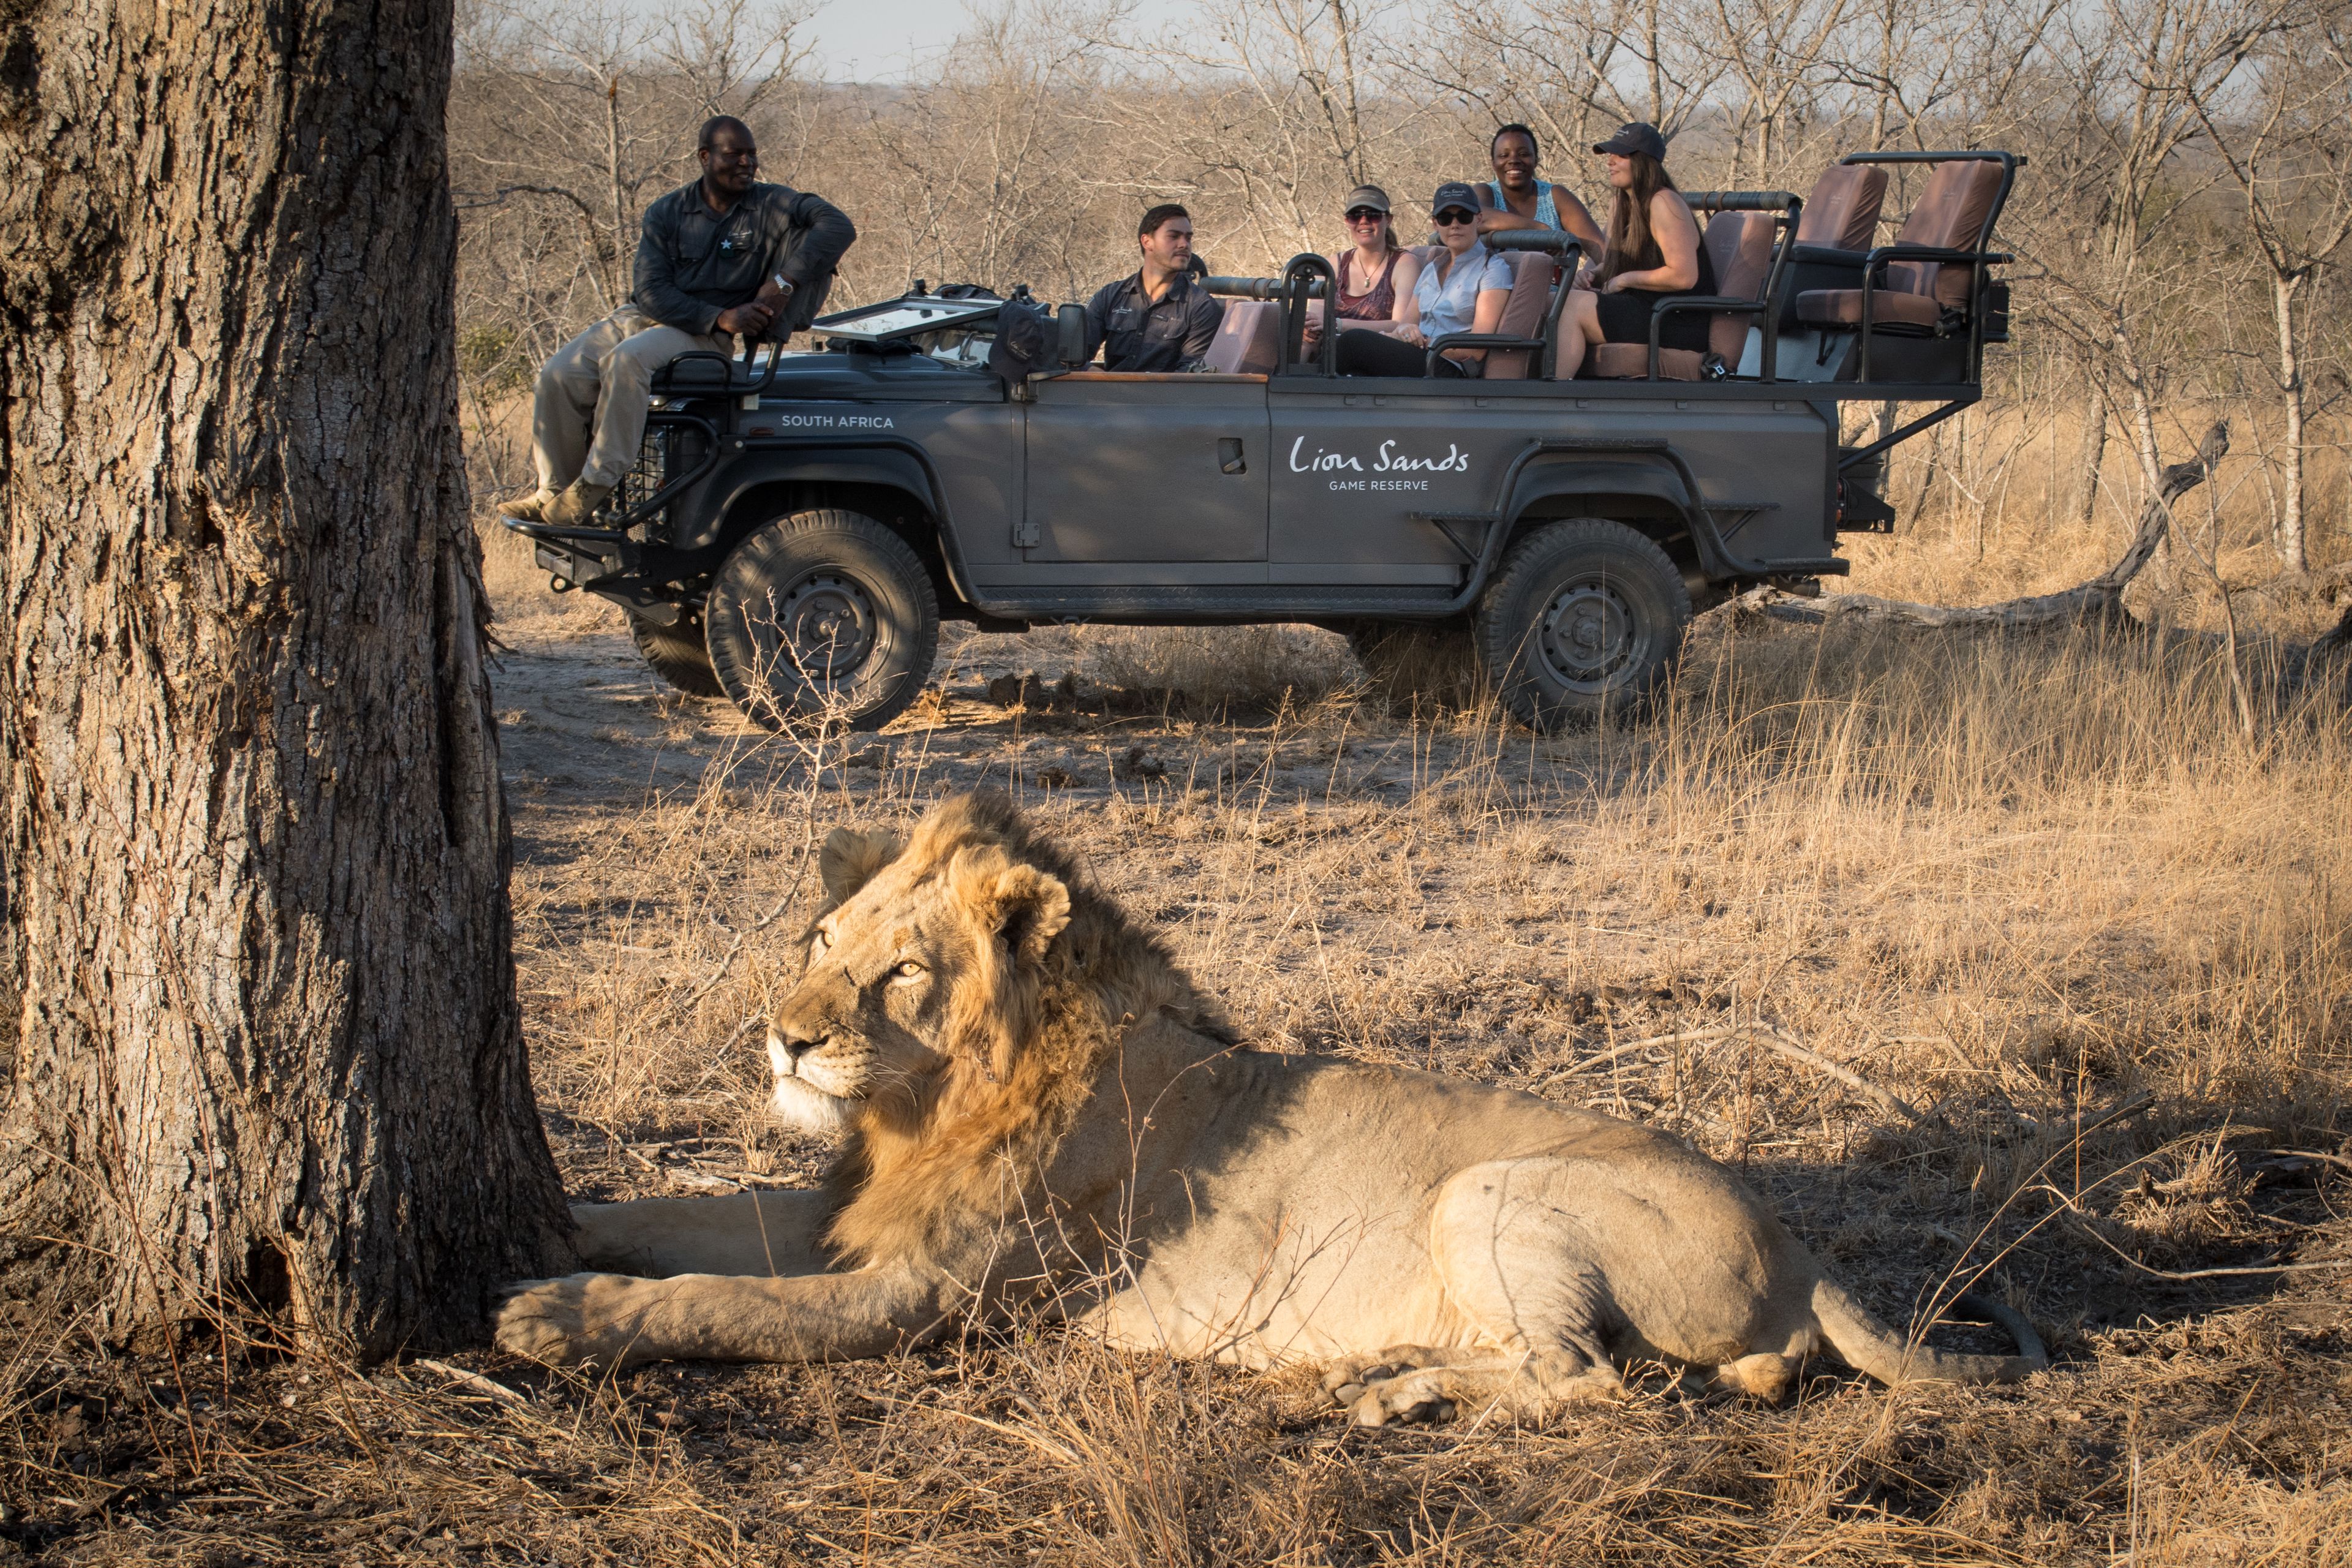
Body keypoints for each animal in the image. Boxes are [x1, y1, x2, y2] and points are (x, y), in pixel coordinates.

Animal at [497, 792, 2043, 1423]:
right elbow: (688, 1221)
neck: (924, 1108)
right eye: (822, 938)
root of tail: (1801, 1245)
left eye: (901, 974)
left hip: (1492, 1189)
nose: (784, 1039)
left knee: (1591, 1380)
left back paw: (1403, 1393)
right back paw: (1393, 1371)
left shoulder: (921, 1295)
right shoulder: (850, 1215)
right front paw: (568, 1227)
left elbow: (718, 1296)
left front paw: (553, 1313)